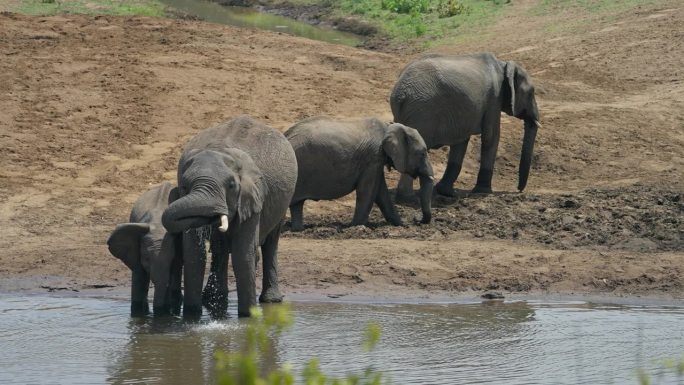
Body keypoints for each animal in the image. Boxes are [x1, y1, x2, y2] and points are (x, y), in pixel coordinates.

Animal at [163, 115, 300, 318]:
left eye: (231, 185)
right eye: (184, 186)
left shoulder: (253, 196)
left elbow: (243, 253)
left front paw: (249, 317)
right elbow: (194, 254)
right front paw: (192, 316)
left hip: (283, 201)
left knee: (271, 241)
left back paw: (271, 300)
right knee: (220, 248)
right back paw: (213, 299)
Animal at [286, 115, 436, 230]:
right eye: (422, 153)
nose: (416, 219)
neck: (389, 126)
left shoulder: (376, 160)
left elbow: (381, 193)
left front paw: (401, 225)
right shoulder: (373, 157)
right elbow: (367, 191)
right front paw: (355, 226)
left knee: (296, 204)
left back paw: (298, 229)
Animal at [390, 51, 540, 195]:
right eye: (531, 93)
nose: (519, 190)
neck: (503, 65)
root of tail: (401, 92)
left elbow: (461, 142)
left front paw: (447, 193)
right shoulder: (494, 98)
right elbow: (491, 137)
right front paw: (482, 192)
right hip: (423, 111)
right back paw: (408, 197)